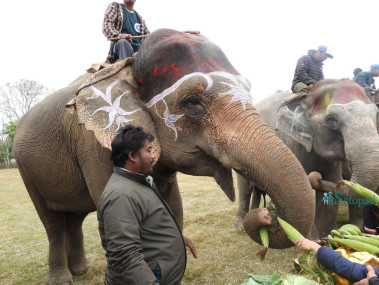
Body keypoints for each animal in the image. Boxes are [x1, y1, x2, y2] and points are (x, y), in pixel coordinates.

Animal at [13, 27, 314, 282]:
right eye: (193, 102)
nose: (265, 215)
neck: (128, 65)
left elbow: (174, 207)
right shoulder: (96, 144)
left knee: (74, 218)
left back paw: (82, 271)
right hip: (25, 168)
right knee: (53, 222)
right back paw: (63, 278)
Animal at [236, 77, 379, 237]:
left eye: (376, 115)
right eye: (332, 119)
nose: (315, 177)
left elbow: (329, 190)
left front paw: (325, 238)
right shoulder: (291, 144)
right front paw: (311, 239)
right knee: (245, 188)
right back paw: (241, 226)